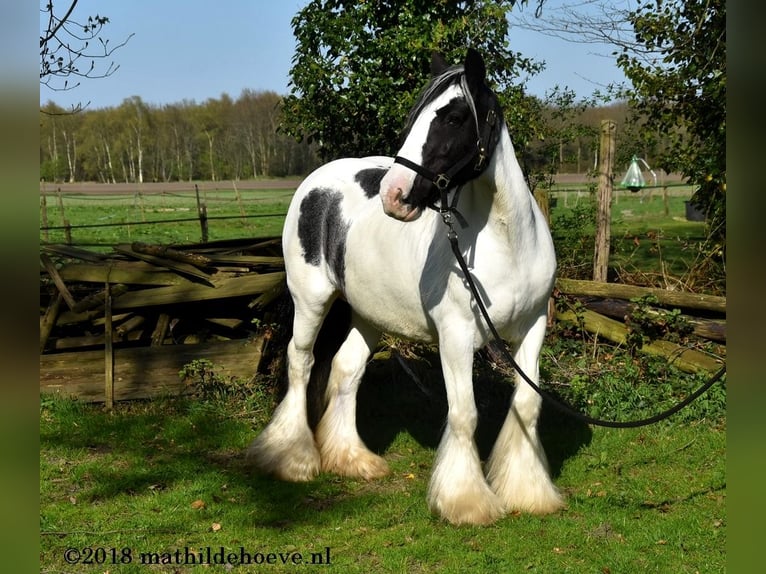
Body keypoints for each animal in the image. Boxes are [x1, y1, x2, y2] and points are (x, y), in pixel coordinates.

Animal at [246, 48, 563, 525]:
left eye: (453, 117)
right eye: (414, 117)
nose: (394, 194)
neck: (506, 243)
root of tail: (315, 184)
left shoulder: (532, 328)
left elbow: (526, 404)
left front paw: (527, 492)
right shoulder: (455, 335)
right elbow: (464, 414)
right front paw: (466, 502)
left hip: (367, 313)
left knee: (345, 368)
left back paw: (353, 460)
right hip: (311, 300)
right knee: (300, 362)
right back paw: (293, 458)